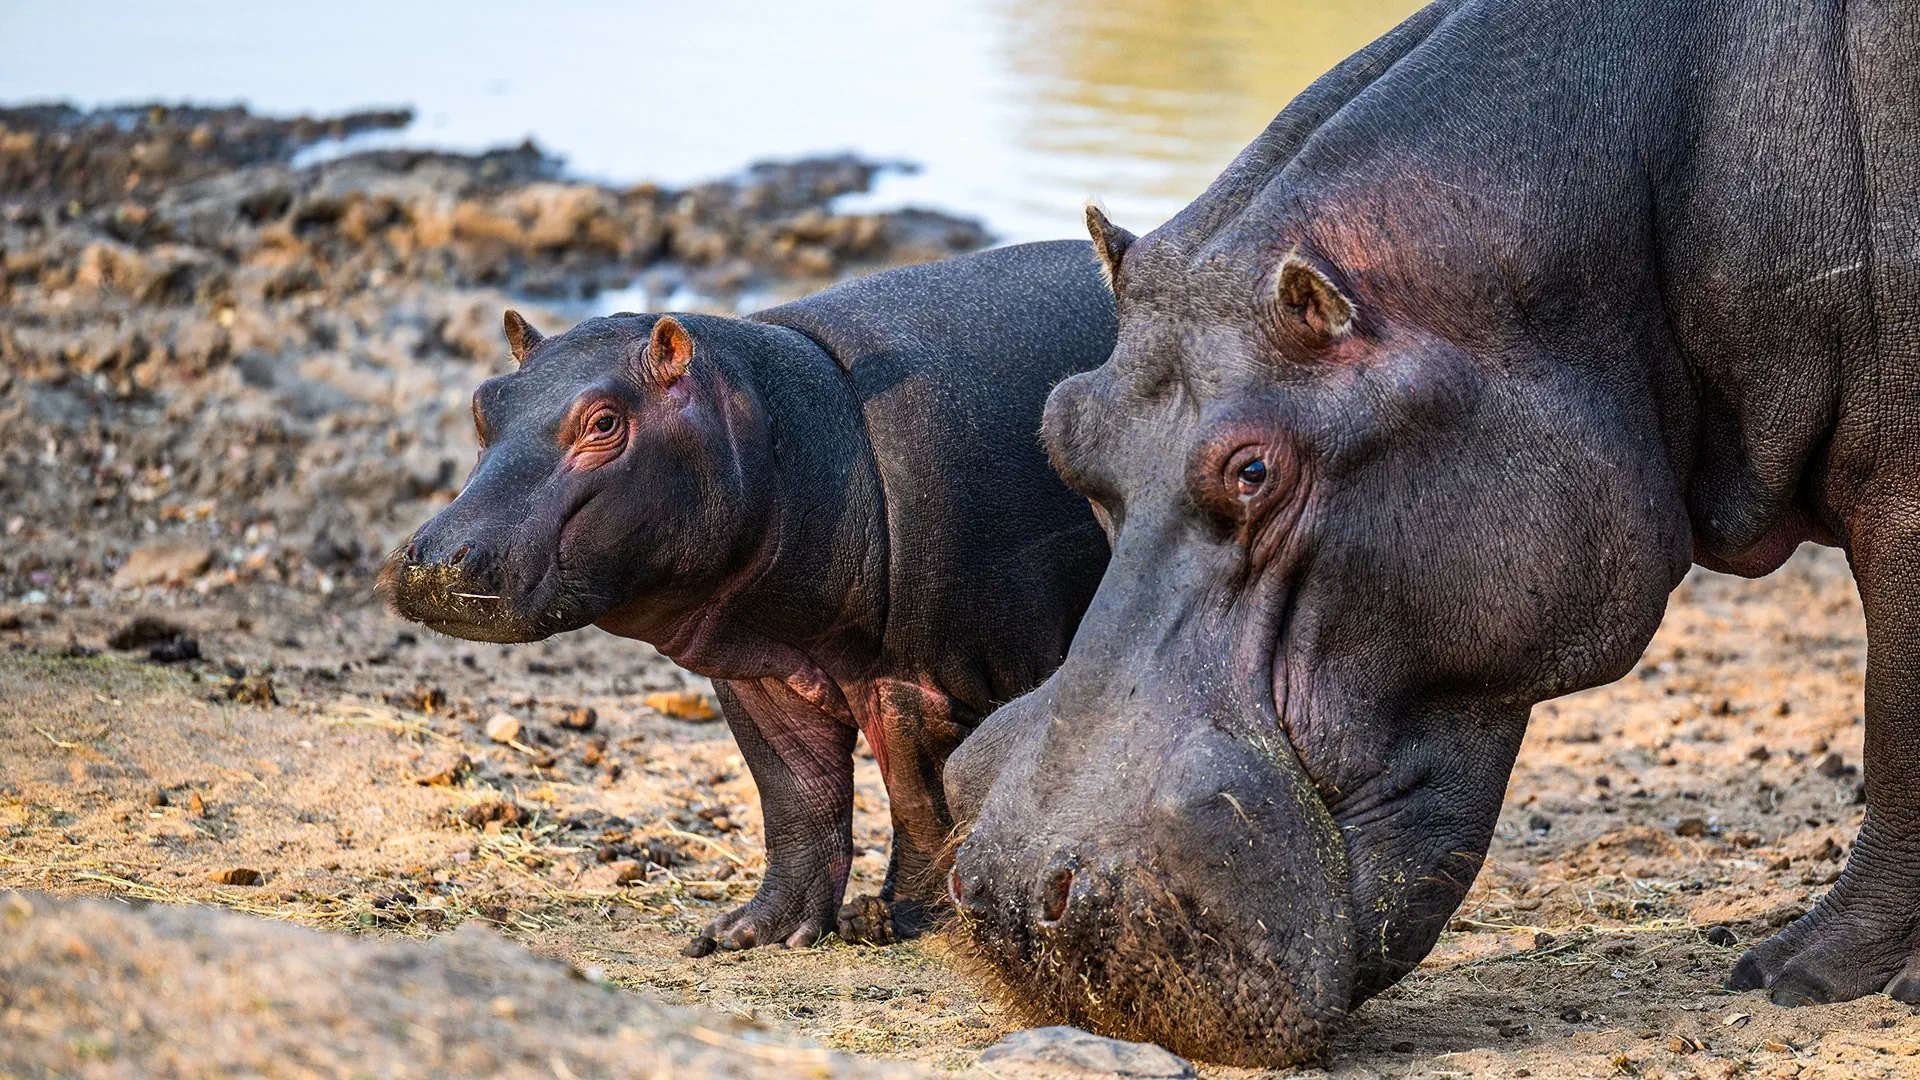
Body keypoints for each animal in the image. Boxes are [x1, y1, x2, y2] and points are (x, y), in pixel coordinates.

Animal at [380, 241, 1113, 953]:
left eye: (605, 423)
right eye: (483, 403)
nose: (433, 562)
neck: (800, 431)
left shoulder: (923, 680)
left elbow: (924, 799)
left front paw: (910, 920)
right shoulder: (761, 668)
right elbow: (795, 793)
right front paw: (749, 933)